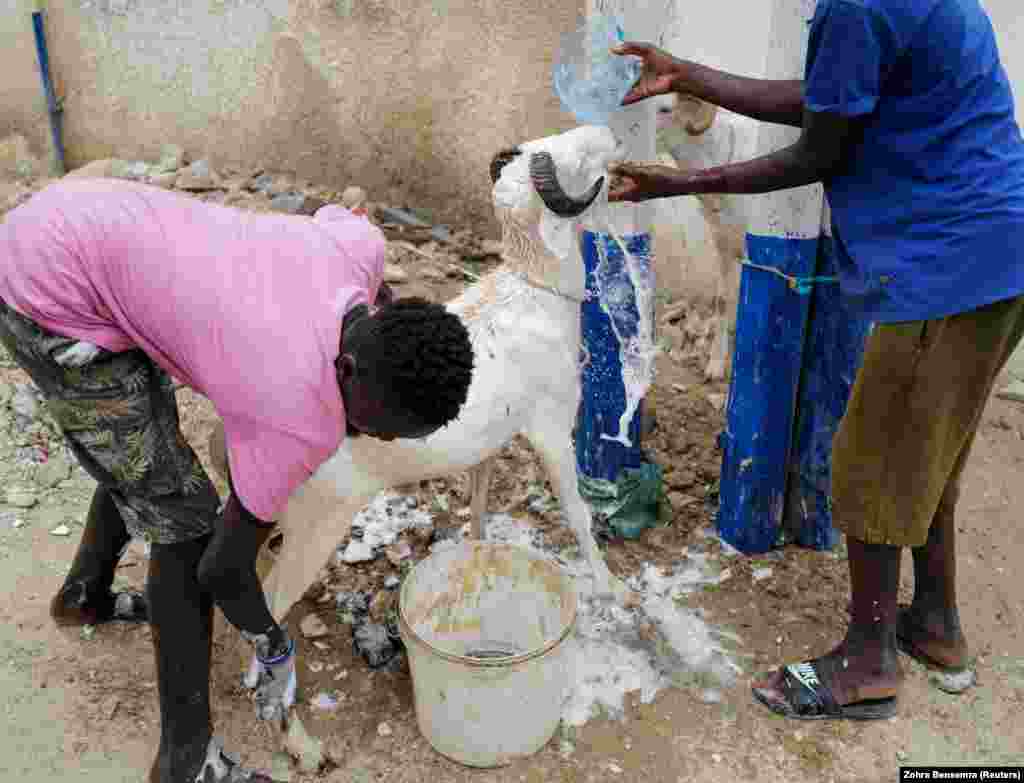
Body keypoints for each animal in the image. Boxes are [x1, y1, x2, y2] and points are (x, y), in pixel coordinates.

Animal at [242, 125, 630, 634]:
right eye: (577, 161)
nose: (611, 134)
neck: (532, 292)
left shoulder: (489, 445)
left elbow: (480, 502)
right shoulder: (551, 432)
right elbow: (577, 514)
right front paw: (613, 589)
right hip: (315, 527)